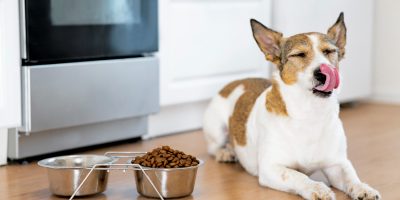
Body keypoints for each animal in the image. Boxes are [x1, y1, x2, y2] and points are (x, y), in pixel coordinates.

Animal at [203, 12, 382, 200]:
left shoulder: (337, 164)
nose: (322, 73)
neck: (309, 113)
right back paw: (225, 152)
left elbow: (351, 176)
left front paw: (363, 188)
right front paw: (317, 188)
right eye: (299, 55)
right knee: (213, 147)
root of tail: (236, 81)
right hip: (217, 130)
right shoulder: (271, 168)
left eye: (329, 52)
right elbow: (298, 176)